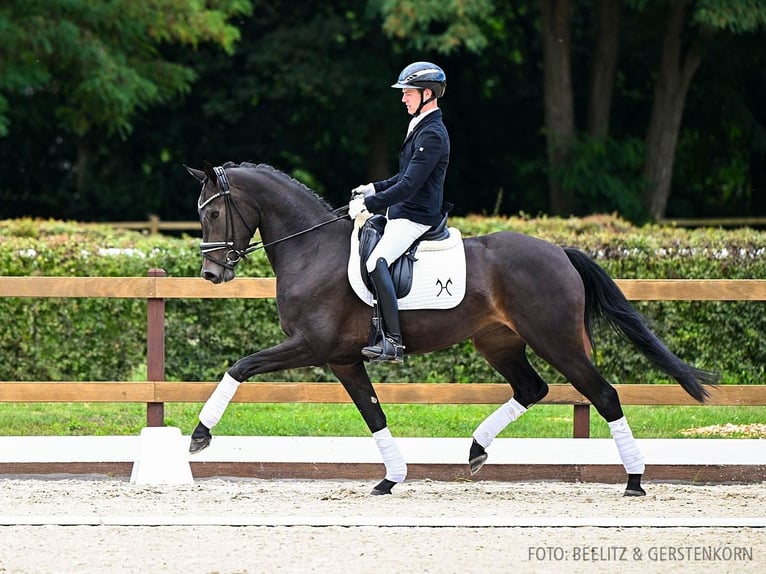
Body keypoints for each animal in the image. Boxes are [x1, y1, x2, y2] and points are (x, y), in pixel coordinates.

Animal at [184, 162, 720, 500]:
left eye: (212, 212)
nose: (212, 274)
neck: (311, 249)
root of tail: (560, 252)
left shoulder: (310, 346)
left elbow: (241, 366)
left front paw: (200, 436)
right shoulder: (343, 358)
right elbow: (374, 415)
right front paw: (391, 479)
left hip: (558, 342)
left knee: (604, 395)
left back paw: (634, 480)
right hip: (498, 342)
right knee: (532, 388)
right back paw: (477, 449)